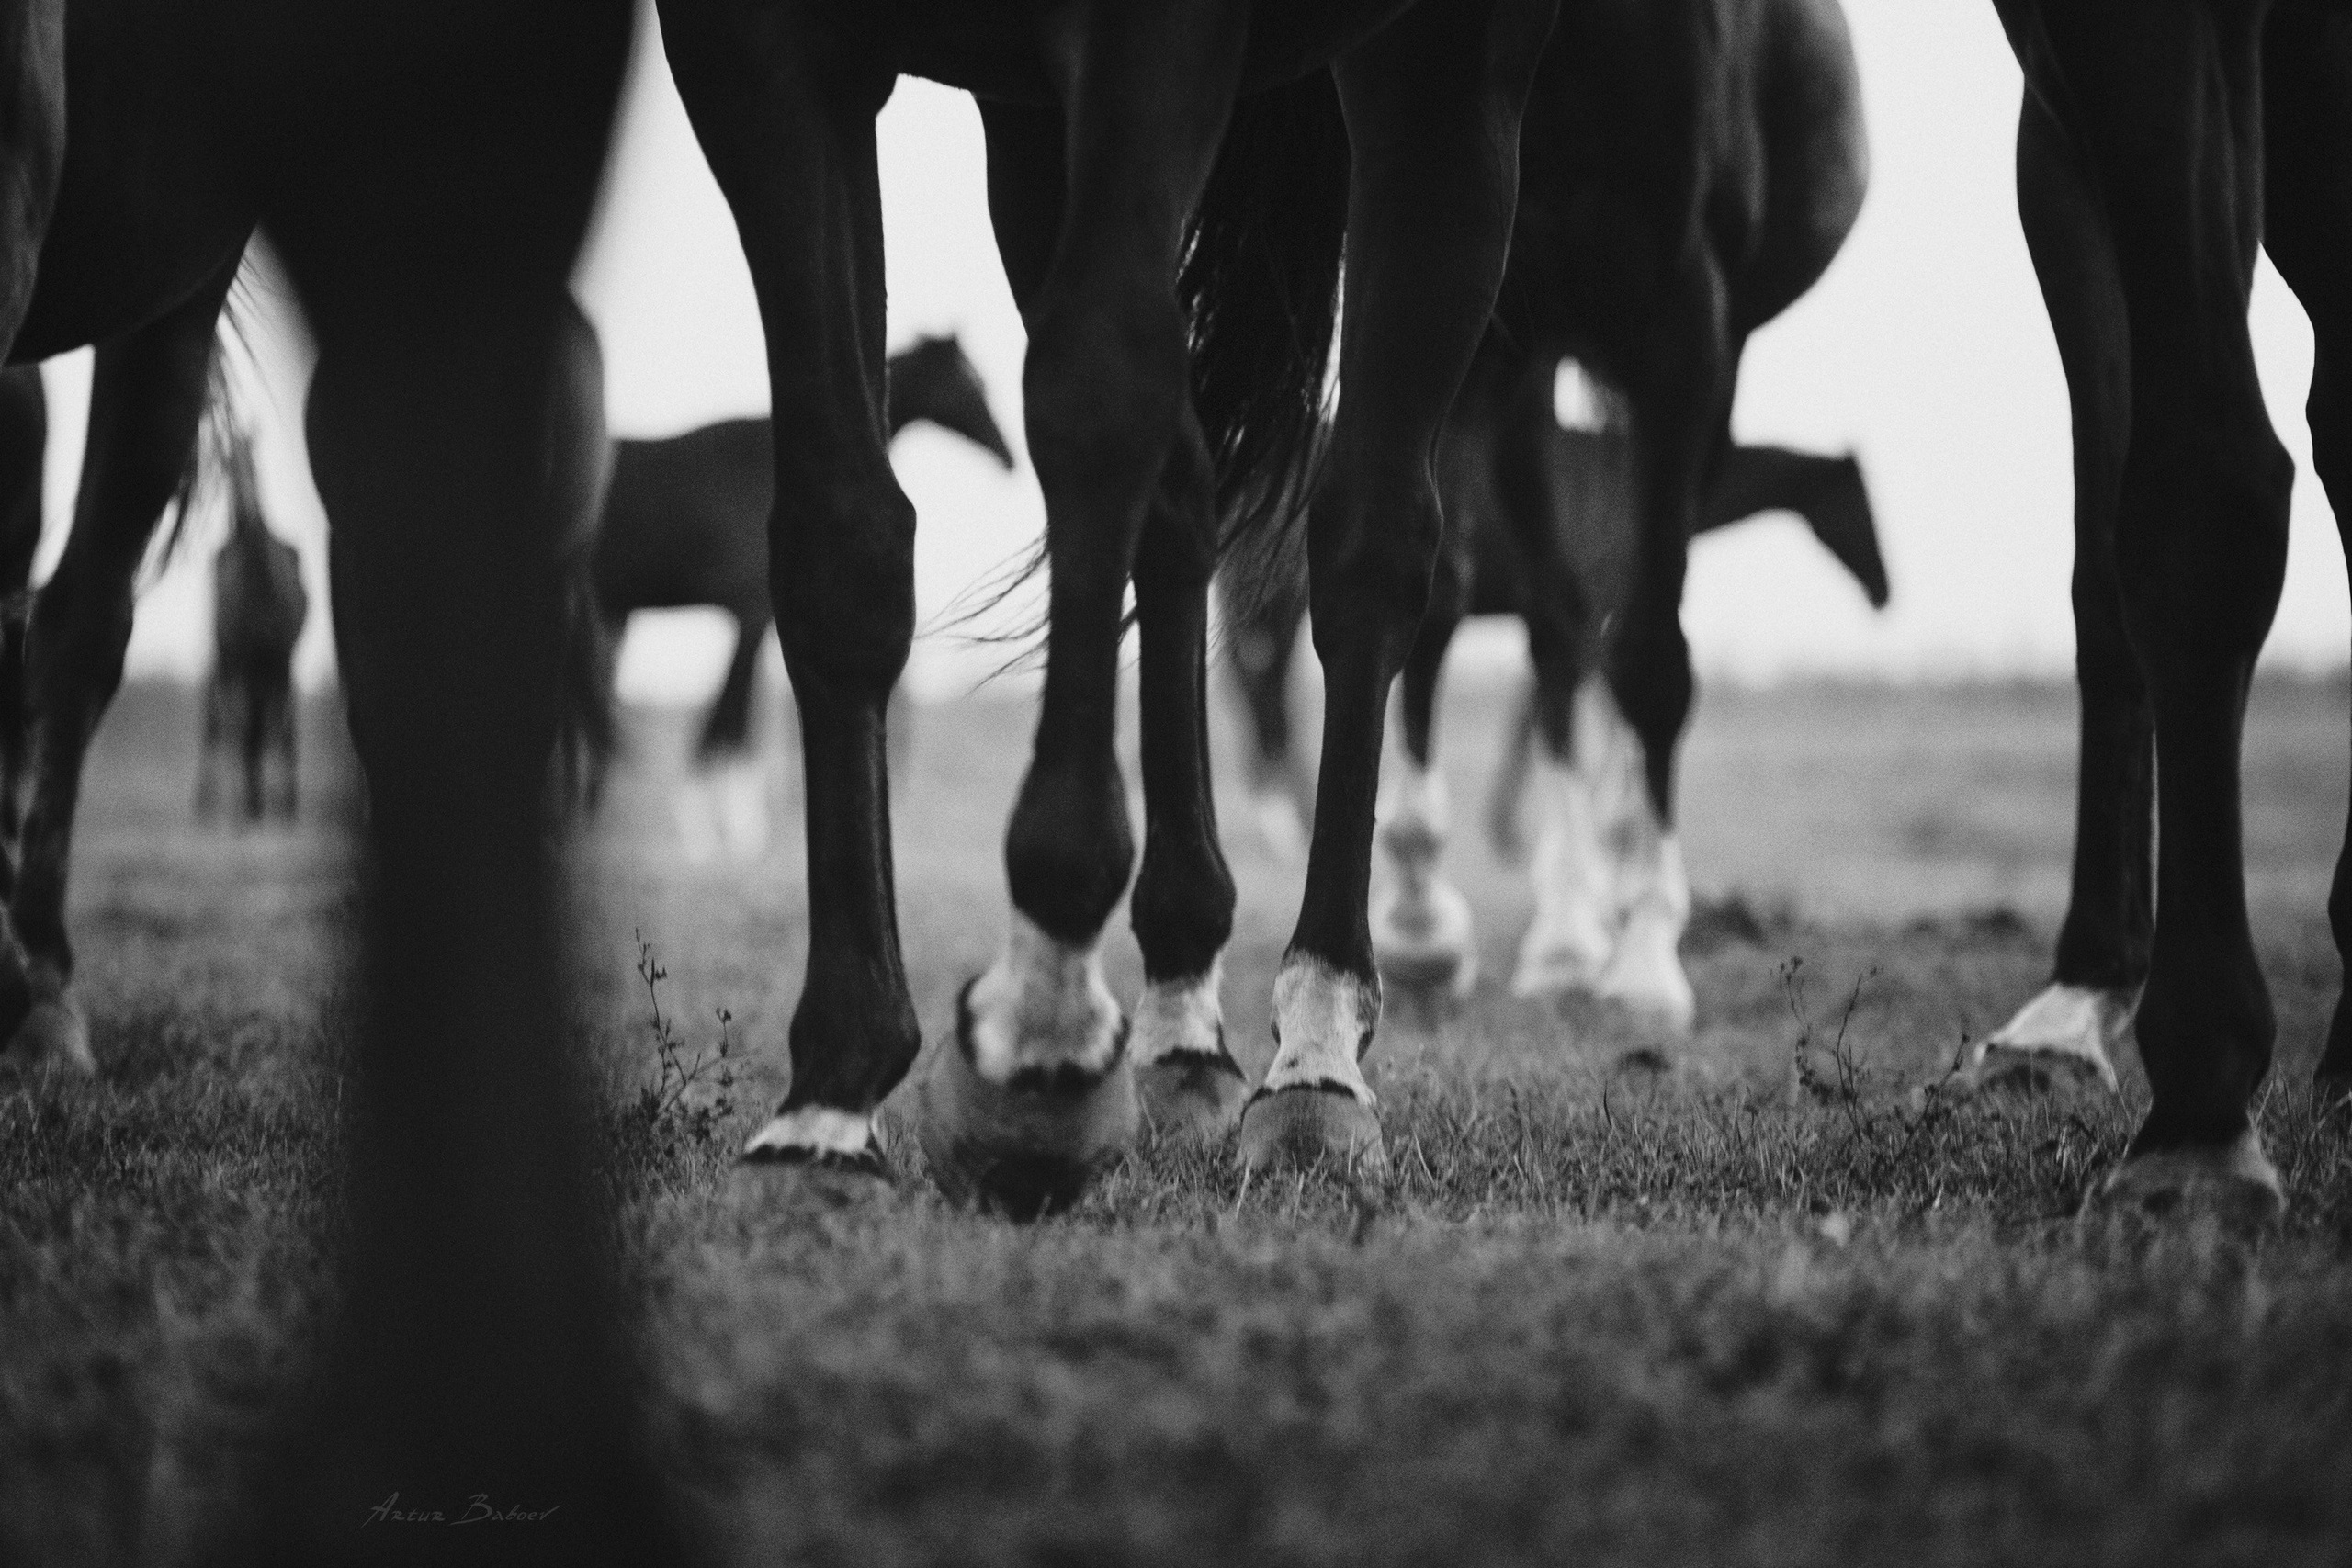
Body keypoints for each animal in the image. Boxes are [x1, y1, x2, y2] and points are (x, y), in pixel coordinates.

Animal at [194, 427, 308, 825]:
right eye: (225, 461)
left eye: (251, 458)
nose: (244, 511)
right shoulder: (238, 657)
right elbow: (238, 726)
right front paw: (243, 810)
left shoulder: (279, 656)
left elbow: (276, 727)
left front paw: (280, 808)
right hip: (230, 663)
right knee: (225, 725)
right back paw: (219, 805)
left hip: (268, 668)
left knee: (273, 726)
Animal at [562, 330, 1014, 829]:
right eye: (970, 383)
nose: (1009, 456)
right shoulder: (751, 611)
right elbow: (725, 722)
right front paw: (717, 826)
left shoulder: (755, 617)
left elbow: (732, 721)